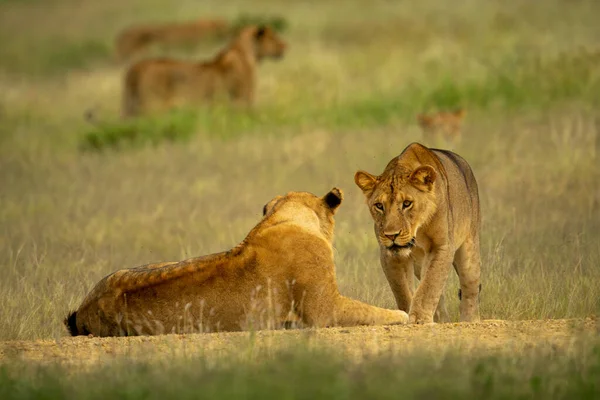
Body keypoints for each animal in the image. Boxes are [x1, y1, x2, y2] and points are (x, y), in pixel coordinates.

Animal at [121, 25, 286, 117]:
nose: (286, 45)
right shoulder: (242, 101)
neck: (247, 53)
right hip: (153, 107)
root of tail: (137, 66)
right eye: (273, 38)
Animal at [354, 142, 480, 324]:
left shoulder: (442, 246)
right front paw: (408, 315)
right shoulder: (390, 256)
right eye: (379, 206)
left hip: (469, 250)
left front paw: (419, 319)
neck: (418, 229)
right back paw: (441, 319)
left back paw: (469, 320)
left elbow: (430, 284)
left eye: (407, 203)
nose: (391, 235)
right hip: (419, 264)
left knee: (470, 287)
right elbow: (403, 290)